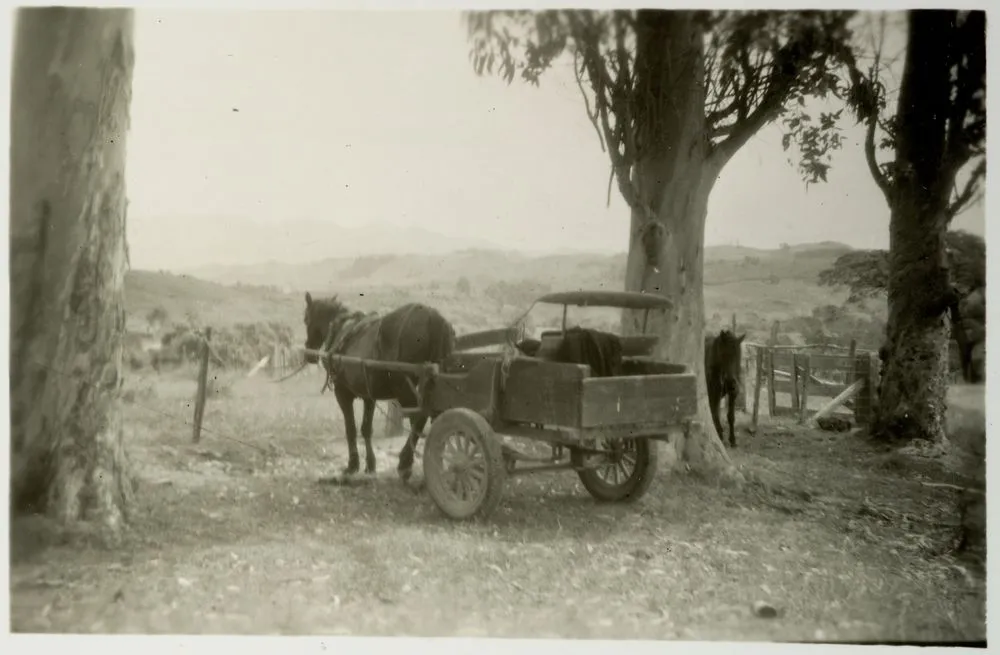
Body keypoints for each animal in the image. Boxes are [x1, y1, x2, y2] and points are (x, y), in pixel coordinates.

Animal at [300, 292, 458, 482]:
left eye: (306, 319)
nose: (309, 354)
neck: (341, 329)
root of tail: (432, 317)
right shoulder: (369, 396)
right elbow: (366, 429)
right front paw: (370, 464)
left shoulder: (342, 392)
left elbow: (351, 429)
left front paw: (352, 465)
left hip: (405, 388)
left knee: (418, 420)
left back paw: (406, 463)